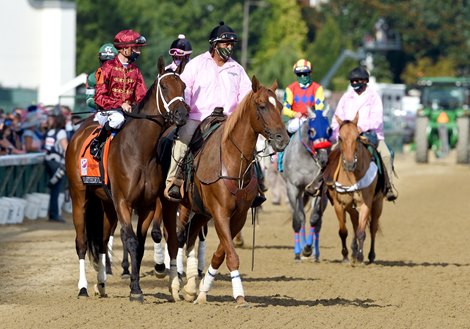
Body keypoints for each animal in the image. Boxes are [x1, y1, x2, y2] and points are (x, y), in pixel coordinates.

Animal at [64, 57, 189, 302]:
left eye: (184, 86)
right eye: (164, 87)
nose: (182, 114)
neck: (140, 151)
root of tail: (77, 134)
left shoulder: (147, 205)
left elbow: (138, 245)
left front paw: (135, 285)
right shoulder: (123, 202)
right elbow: (130, 240)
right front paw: (135, 290)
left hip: (106, 204)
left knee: (102, 241)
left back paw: (102, 284)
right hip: (79, 197)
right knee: (82, 243)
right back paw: (83, 288)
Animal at [175, 75, 288, 306]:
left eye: (280, 105)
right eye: (261, 106)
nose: (282, 139)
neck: (232, 162)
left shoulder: (238, 215)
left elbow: (222, 253)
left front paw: (203, 291)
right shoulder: (220, 213)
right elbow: (231, 255)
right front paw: (240, 296)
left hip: (202, 212)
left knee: (190, 238)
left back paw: (190, 288)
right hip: (182, 204)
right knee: (179, 237)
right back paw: (176, 283)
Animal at [280, 109, 332, 260]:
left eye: (329, 130)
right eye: (312, 131)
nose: (323, 159)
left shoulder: (318, 189)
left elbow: (314, 219)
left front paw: (308, 248)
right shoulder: (293, 188)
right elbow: (298, 219)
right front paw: (299, 251)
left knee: (318, 222)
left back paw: (315, 253)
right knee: (302, 216)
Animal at [324, 113, 384, 264]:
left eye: (357, 136)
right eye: (340, 137)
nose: (350, 164)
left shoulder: (365, 203)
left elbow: (362, 232)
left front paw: (361, 257)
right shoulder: (339, 204)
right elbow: (343, 231)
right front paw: (346, 256)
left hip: (378, 203)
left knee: (372, 228)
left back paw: (370, 256)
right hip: (350, 207)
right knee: (355, 223)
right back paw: (353, 252)